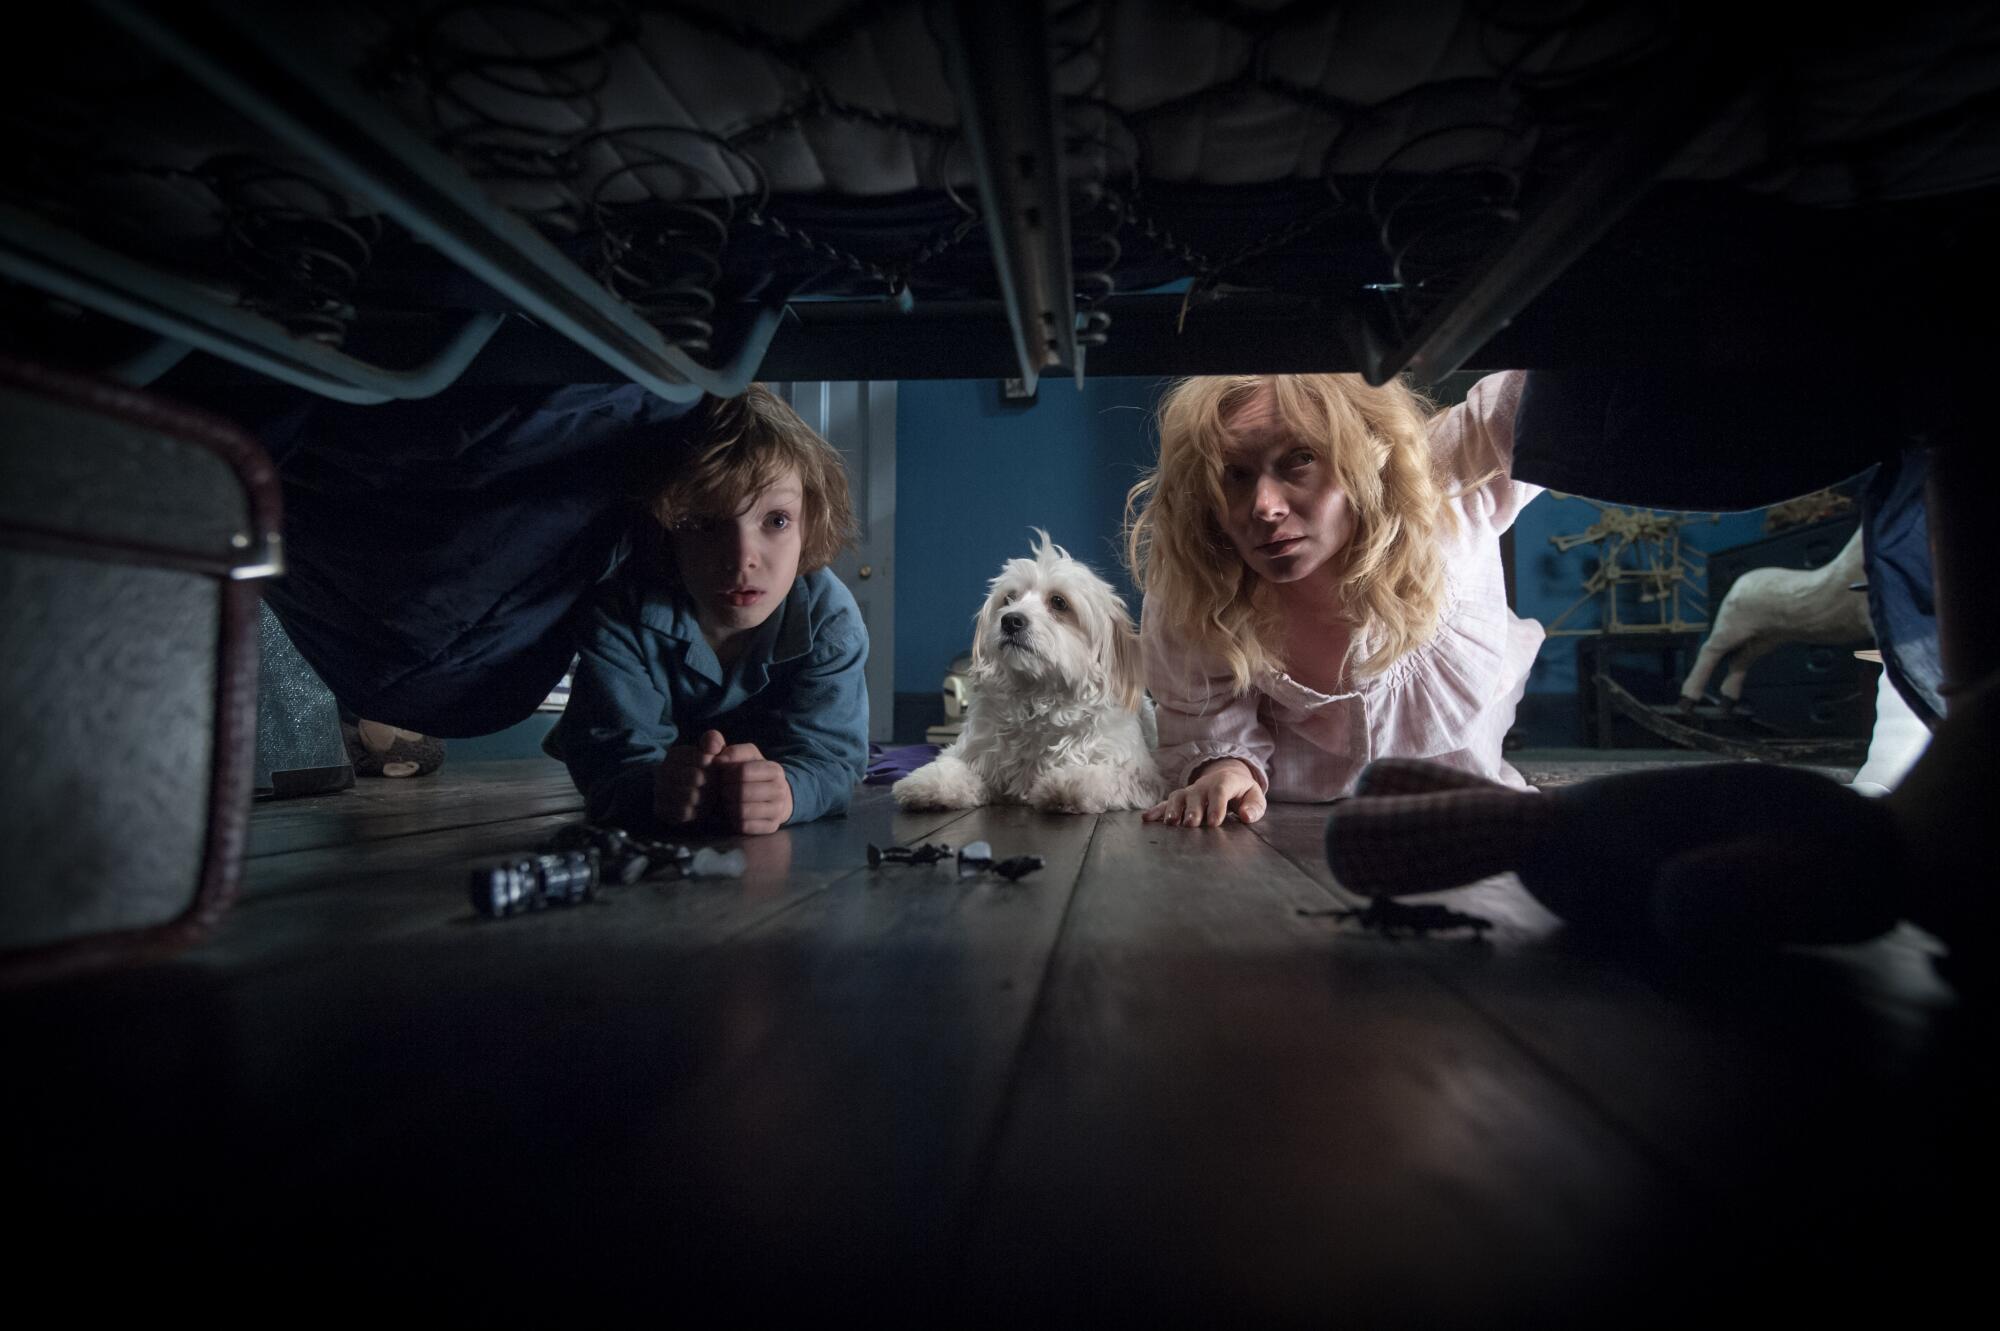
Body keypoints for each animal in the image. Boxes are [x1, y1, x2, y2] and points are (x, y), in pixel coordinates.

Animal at [896, 527, 1168, 807]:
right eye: (1009, 598)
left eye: (1059, 602)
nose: (1010, 620)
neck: (1036, 697)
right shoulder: (974, 752)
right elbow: (952, 765)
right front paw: (925, 783)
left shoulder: (1139, 775)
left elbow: (1095, 776)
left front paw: (1062, 783)